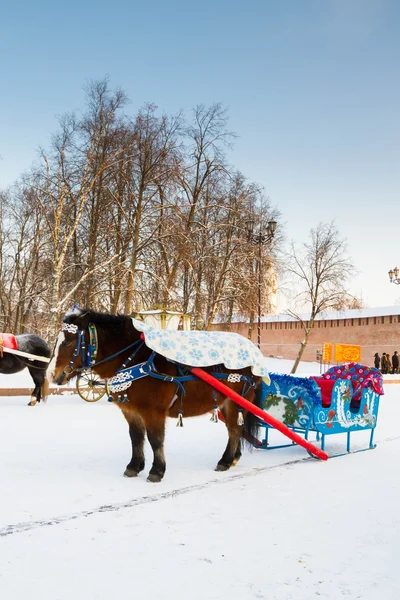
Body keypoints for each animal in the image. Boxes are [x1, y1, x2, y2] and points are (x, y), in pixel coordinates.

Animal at [48, 310, 262, 482]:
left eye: (68, 341)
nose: (51, 374)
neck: (136, 358)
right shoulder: (131, 411)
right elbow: (136, 437)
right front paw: (134, 466)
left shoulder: (154, 412)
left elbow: (155, 440)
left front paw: (157, 471)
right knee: (236, 430)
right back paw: (233, 458)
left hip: (235, 403)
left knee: (235, 430)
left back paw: (225, 460)